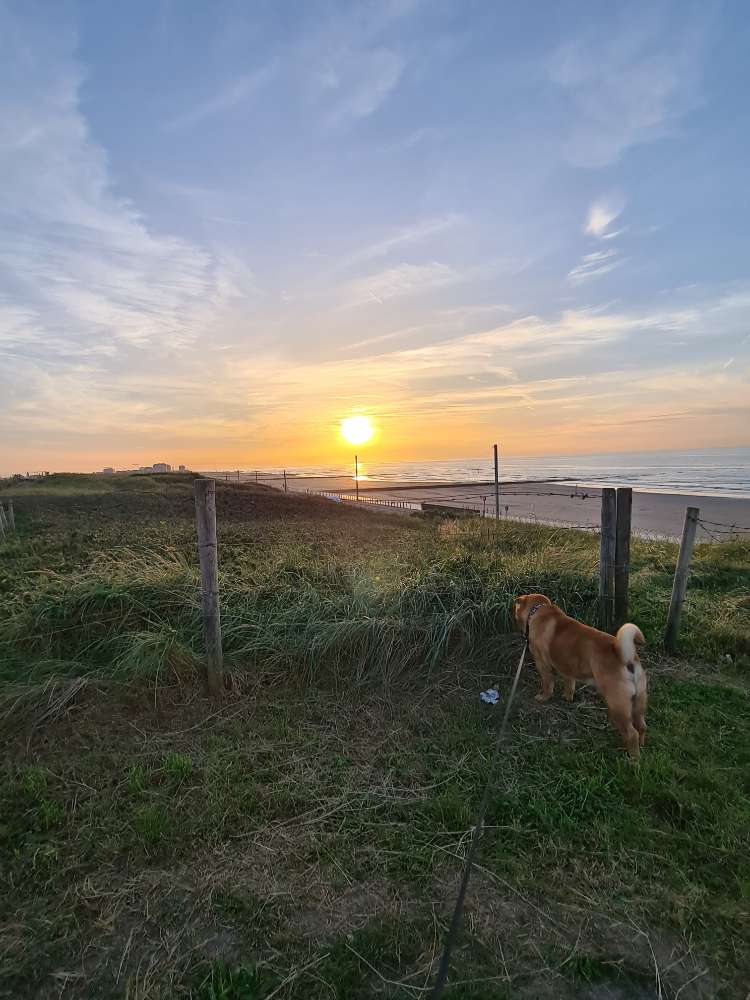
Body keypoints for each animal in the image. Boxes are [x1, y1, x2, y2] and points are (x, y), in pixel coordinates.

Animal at [516, 592, 648, 756]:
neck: (539, 611)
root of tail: (625, 657)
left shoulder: (542, 664)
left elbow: (547, 684)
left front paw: (543, 697)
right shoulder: (567, 667)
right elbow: (569, 683)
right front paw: (567, 697)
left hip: (618, 705)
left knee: (632, 733)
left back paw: (633, 758)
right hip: (638, 703)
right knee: (641, 726)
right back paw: (641, 747)